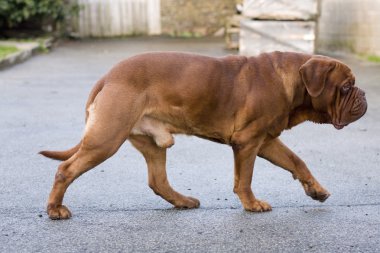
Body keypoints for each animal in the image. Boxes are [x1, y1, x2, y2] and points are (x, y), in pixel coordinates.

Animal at [40, 51, 366, 219]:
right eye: (346, 87)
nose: (363, 96)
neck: (294, 82)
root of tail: (107, 77)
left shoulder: (266, 141)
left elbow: (297, 161)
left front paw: (317, 190)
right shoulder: (248, 142)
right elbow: (244, 179)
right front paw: (252, 204)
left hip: (152, 144)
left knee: (157, 180)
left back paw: (183, 201)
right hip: (106, 139)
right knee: (65, 169)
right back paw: (55, 209)